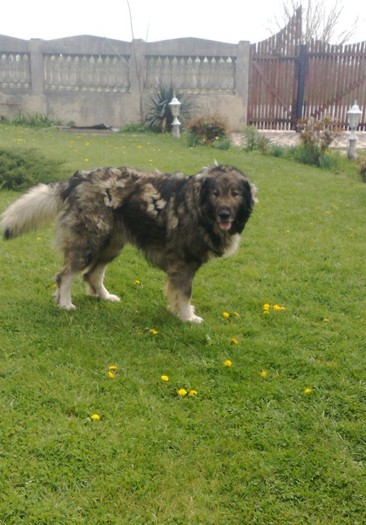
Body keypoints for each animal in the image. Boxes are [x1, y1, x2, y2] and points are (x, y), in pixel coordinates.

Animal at [0, 164, 258, 322]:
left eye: (235, 194)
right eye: (215, 193)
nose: (224, 214)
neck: (197, 207)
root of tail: (78, 179)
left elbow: (178, 294)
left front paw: (180, 312)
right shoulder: (183, 264)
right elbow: (184, 294)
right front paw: (187, 317)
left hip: (111, 245)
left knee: (91, 275)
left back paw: (104, 297)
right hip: (89, 241)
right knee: (65, 275)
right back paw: (65, 304)